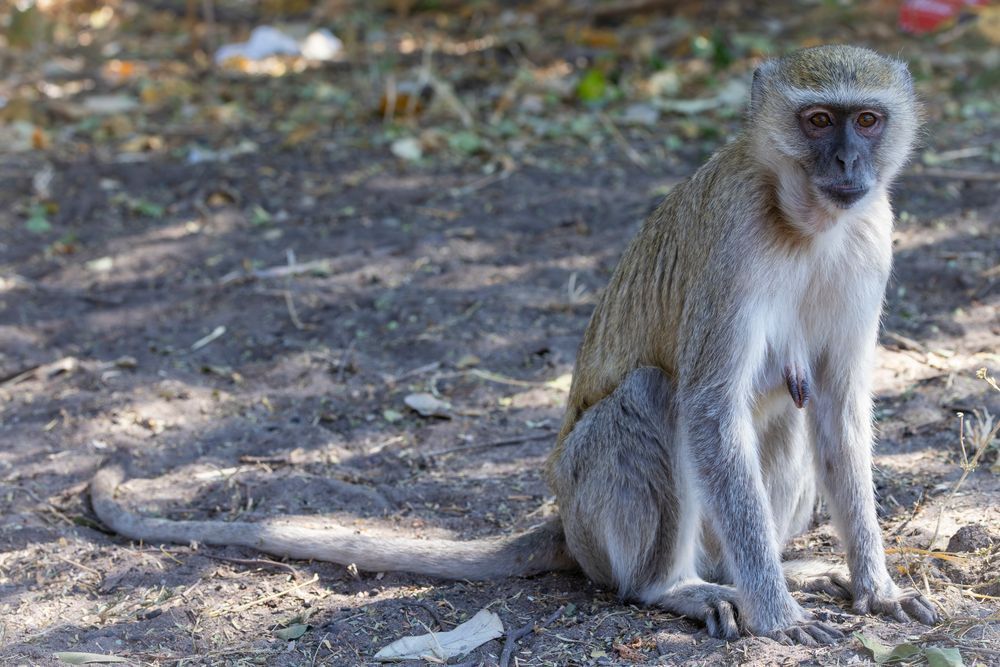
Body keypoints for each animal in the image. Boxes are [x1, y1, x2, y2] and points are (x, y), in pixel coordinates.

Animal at [91, 45, 938, 644]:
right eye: (817, 121)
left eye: (866, 120)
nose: (848, 163)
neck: (806, 224)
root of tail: (565, 520)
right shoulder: (734, 239)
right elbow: (707, 407)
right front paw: (776, 611)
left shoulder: (873, 235)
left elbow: (837, 406)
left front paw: (876, 584)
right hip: (592, 508)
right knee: (655, 396)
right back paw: (677, 587)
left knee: (790, 405)